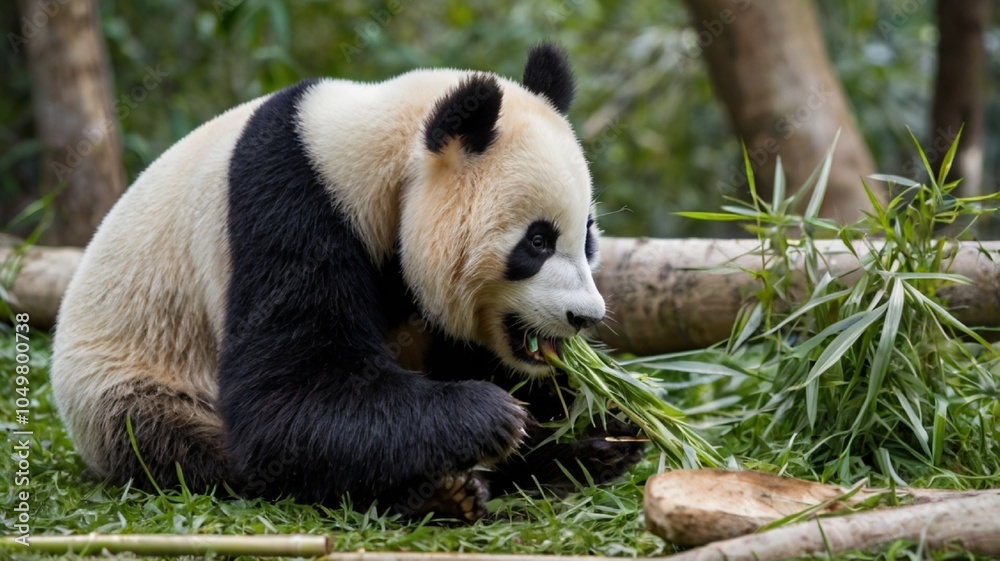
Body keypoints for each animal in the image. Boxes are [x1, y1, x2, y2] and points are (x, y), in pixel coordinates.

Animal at [50, 44, 644, 521]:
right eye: (537, 242)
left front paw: (607, 408)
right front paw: (491, 416)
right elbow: (286, 401)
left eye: (587, 236)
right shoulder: (290, 203)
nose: (585, 317)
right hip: (131, 386)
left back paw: (590, 452)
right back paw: (440, 491)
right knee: (199, 451)